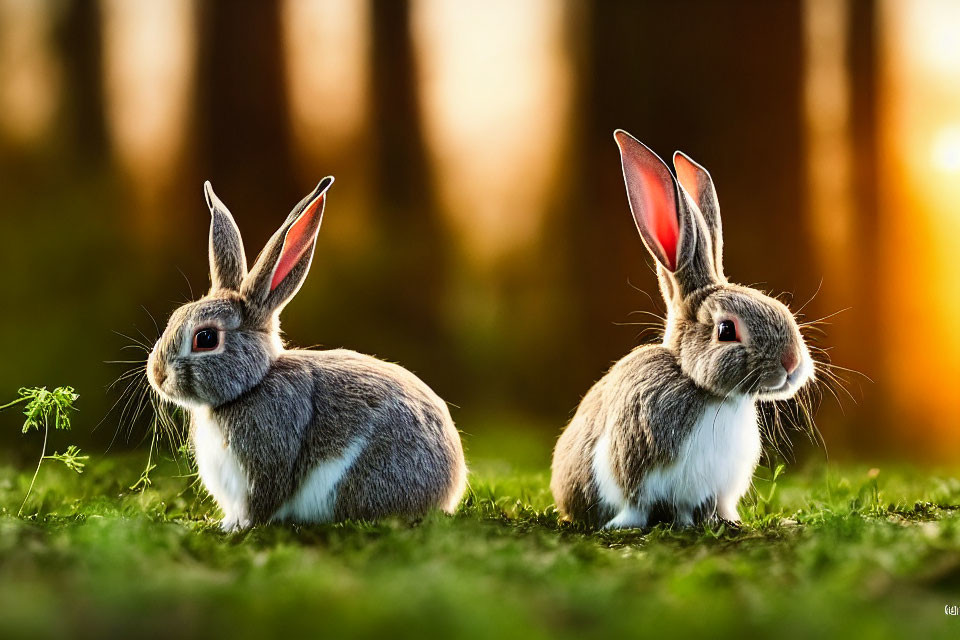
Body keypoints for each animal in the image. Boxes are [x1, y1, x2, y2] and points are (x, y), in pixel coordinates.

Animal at [145, 176, 468, 528]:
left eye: (205, 338)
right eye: (175, 316)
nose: (157, 376)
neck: (252, 386)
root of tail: (450, 484)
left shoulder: (268, 458)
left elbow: (261, 500)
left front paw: (237, 527)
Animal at [552, 131, 812, 528]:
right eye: (726, 330)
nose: (792, 364)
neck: (709, 392)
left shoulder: (719, 487)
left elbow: (716, 505)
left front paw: (727, 521)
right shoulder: (632, 461)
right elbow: (635, 502)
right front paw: (624, 525)